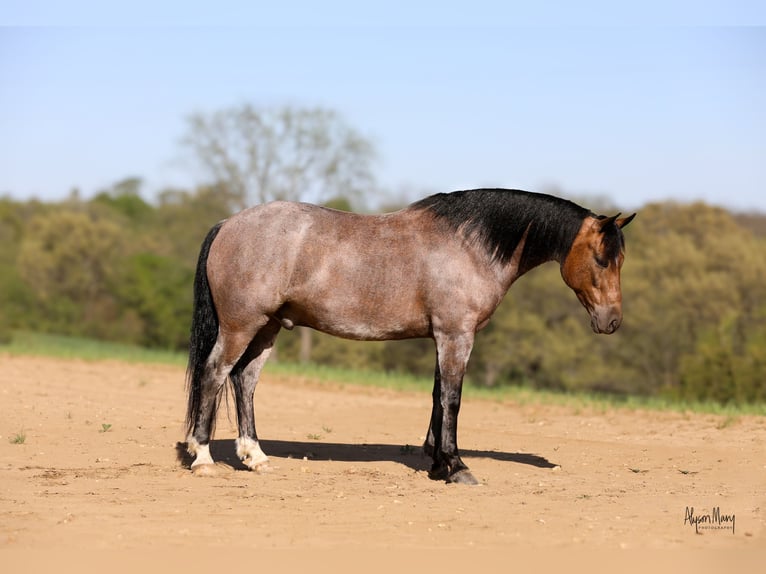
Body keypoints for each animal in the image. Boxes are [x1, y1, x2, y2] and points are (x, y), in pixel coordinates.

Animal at [185, 188, 635, 484]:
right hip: (241, 325)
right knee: (214, 373)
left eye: (621, 259)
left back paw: (255, 457)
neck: (468, 246)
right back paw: (203, 456)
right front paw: (457, 468)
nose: (612, 321)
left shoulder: (443, 336)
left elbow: (437, 397)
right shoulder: (456, 335)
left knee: (245, 381)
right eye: (601, 258)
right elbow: (452, 399)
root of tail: (228, 223)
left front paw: (437, 465)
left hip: (268, 327)